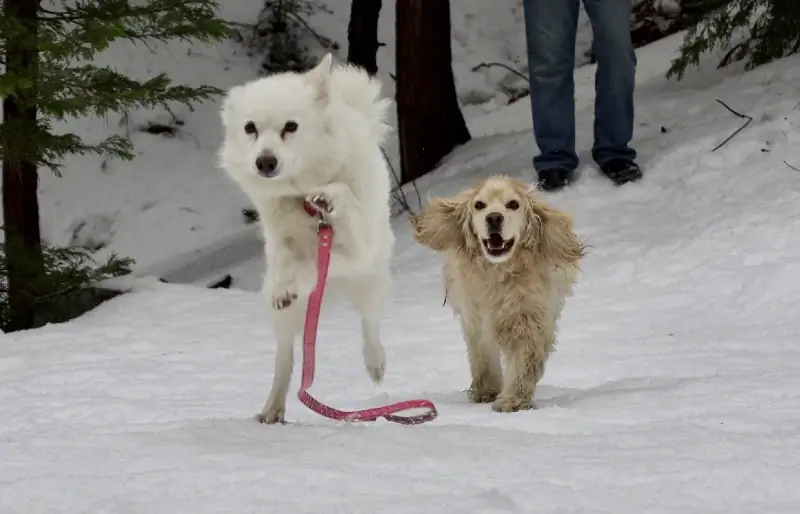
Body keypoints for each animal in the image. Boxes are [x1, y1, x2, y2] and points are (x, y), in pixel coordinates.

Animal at [217, 52, 396, 422]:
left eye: (291, 126)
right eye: (250, 128)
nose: (265, 162)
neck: (301, 194)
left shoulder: (356, 248)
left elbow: (339, 201)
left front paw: (329, 196)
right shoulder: (278, 235)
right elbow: (286, 255)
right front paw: (284, 285)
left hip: (370, 281)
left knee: (370, 324)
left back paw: (375, 364)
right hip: (286, 321)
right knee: (285, 358)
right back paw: (272, 409)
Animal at [410, 174, 584, 410]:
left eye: (513, 204)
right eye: (479, 205)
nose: (493, 218)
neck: (499, 273)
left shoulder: (530, 319)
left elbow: (523, 362)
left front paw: (512, 400)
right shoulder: (476, 320)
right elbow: (483, 358)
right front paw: (487, 391)